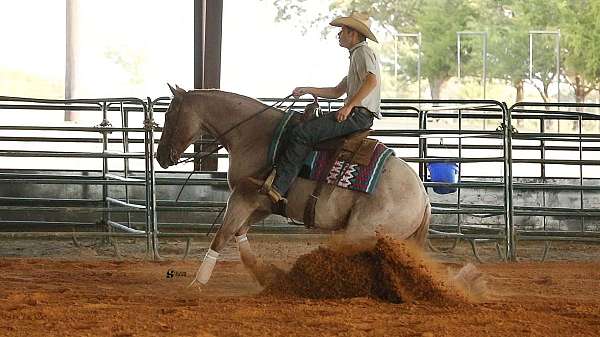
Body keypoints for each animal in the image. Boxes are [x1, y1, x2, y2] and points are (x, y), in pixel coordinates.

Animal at [155, 85, 432, 284]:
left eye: (168, 115)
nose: (160, 156)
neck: (253, 134)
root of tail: (423, 197)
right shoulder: (263, 203)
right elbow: (239, 233)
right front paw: (265, 275)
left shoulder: (242, 197)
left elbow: (222, 236)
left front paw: (197, 284)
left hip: (361, 232)